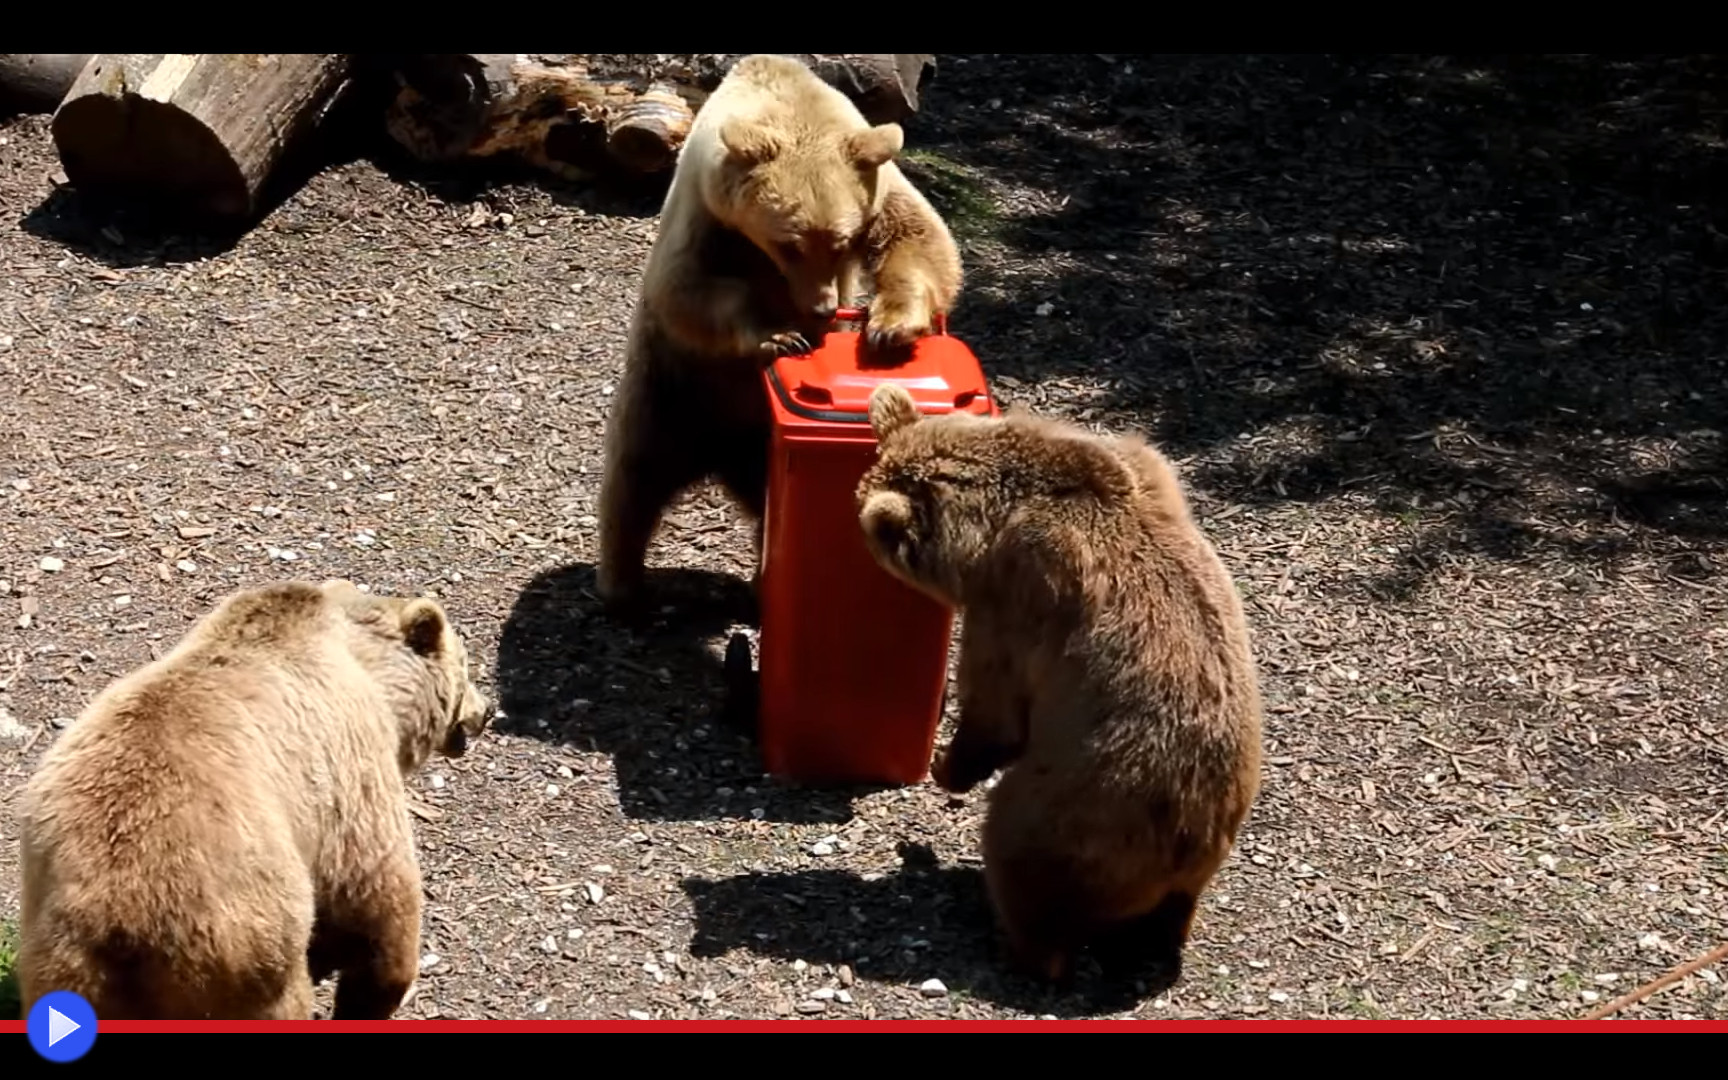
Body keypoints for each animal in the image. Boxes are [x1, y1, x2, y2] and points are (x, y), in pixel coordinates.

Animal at [13, 577, 497, 1016]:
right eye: (466, 665)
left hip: (58, 957)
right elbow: (380, 898)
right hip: (245, 939)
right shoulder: (350, 777)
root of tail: (115, 917)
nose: (487, 711)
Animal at [601, 52, 967, 615]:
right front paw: (780, 335)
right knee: (634, 478)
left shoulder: (879, 189)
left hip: (753, 447)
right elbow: (686, 290)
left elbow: (918, 237)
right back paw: (622, 585)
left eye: (842, 241)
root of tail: (718, 452)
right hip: (668, 390)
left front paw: (889, 329)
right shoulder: (704, 218)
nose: (823, 307)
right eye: (789, 242)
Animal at [857, 383, 1264, 988]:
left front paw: (946, 765)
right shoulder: (1147, 469)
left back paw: (1008, 930)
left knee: (1022, 858)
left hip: (1079, 812)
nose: (859, 529)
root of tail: (1191, 843)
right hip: (1196, 851)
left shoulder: (1018, 599)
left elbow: (997, 712)